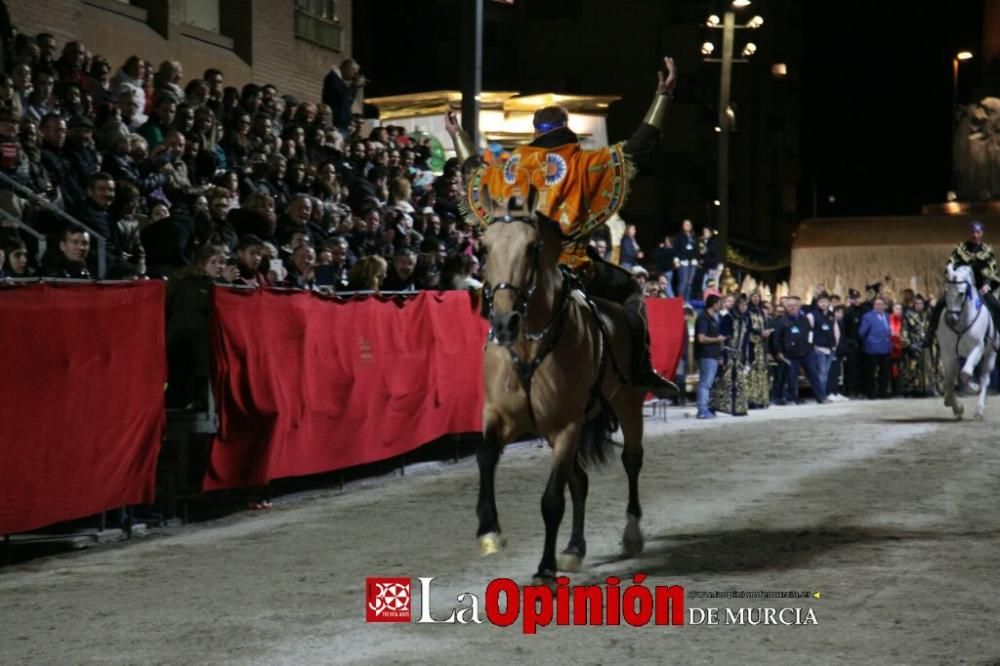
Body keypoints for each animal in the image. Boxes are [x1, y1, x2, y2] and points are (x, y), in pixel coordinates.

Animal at [476, 188, 648, 580]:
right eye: (484, 247)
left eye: (532, 247)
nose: (504, 322)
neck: (529, 347)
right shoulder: (499, 415)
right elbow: (485, 456)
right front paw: (489, 531)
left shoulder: (566, 424)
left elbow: (552, 501)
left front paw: (545, 568)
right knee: (580, 480)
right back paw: (573, 548)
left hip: (627, 403)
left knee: (631, 460)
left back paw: (631, 533)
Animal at [936, 262, 1000, 418]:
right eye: (946, 291)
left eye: (961, 293)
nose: (950, 320)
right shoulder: (948, 353)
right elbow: (949, 381)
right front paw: (955, 406)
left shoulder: (977, 348)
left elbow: (965, 374)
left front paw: (973, 388)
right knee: (954, 377)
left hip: (990, 355)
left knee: (984, 379)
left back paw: (979, 409)